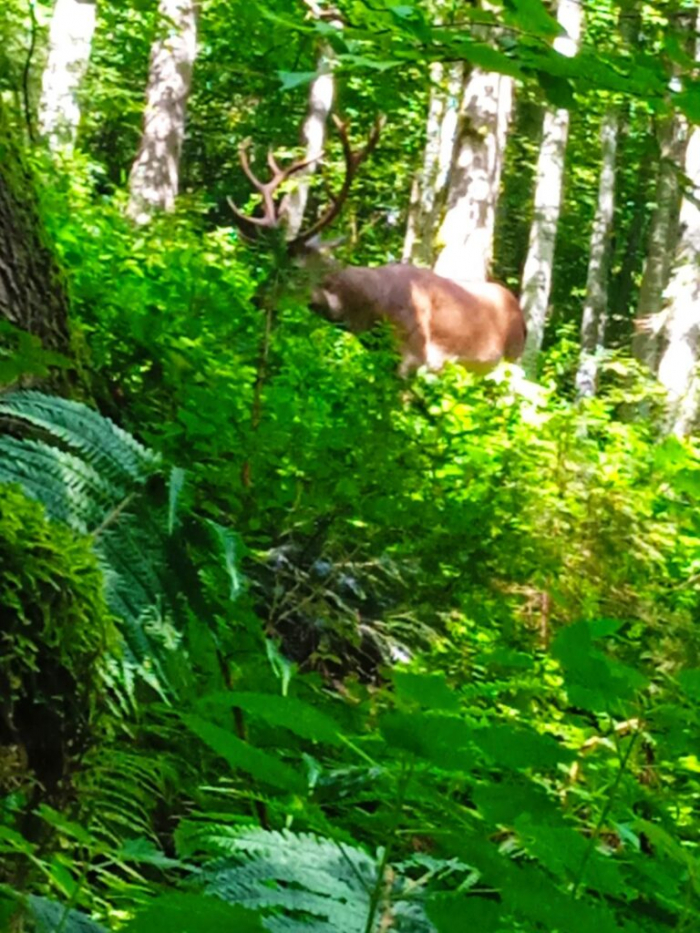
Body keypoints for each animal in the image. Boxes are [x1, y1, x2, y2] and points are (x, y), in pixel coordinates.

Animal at [228, 115, 524, 374]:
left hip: (510, 359)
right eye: (273, 263)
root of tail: (521, 315)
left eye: (294, 268)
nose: (256, 298)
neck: (368, 310)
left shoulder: (414, 355)